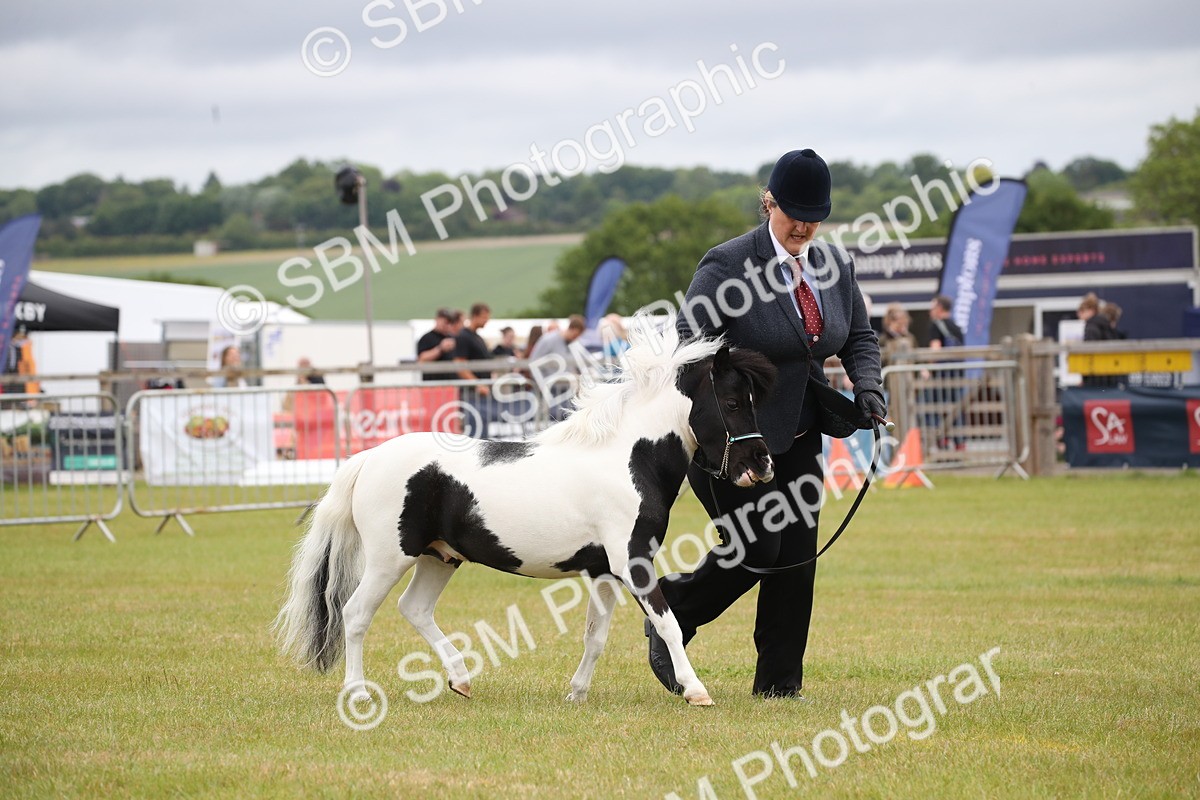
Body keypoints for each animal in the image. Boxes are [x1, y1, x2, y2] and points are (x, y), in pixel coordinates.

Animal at [275, 324, 776, 707]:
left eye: (754, 400)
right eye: (733, 402)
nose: (762, 464)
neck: (629, 458)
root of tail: (367, 459)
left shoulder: (603, 570)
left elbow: (595, 635)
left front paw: (576, 694)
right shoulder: (632, 562)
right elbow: (668, 623)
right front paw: (696, 691)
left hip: (440, 557)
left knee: (413, 609)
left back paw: (461, 680)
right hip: (389, 558)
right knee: (356, 614)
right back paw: (358, 693)